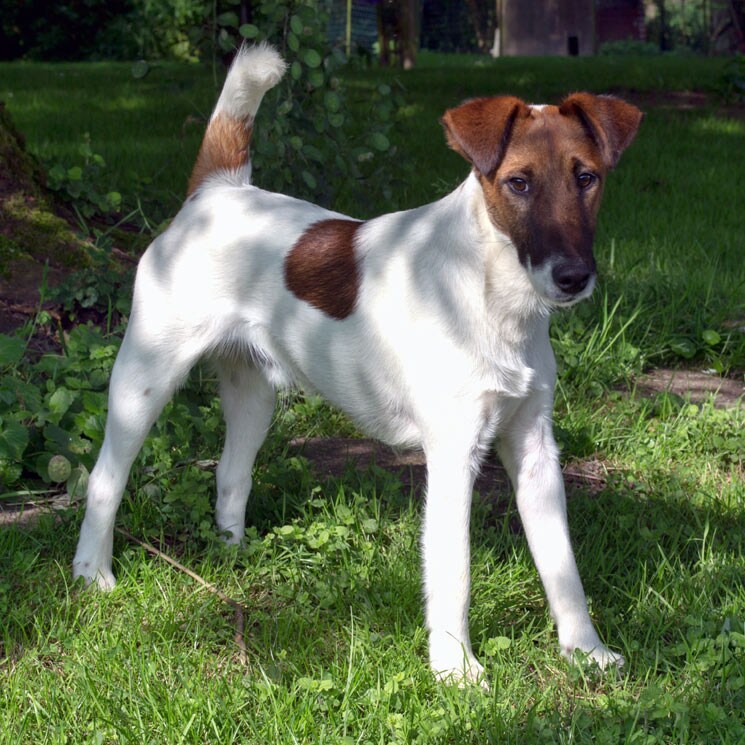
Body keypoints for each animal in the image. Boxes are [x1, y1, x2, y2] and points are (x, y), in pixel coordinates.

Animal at [77, 45, 644, 684]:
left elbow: (563, 567)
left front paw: (586, 651)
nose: (573, 278)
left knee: (230, 473)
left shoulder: (535, 449)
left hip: (253, 396)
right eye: (518, 182)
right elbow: (454, 571)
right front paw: (455, 668)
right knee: (105, 478)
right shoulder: (453, 455)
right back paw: (92, 574)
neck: (492, 294)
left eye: (586, 177)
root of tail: (216, 192)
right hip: (144, 379)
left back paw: (236, 558)